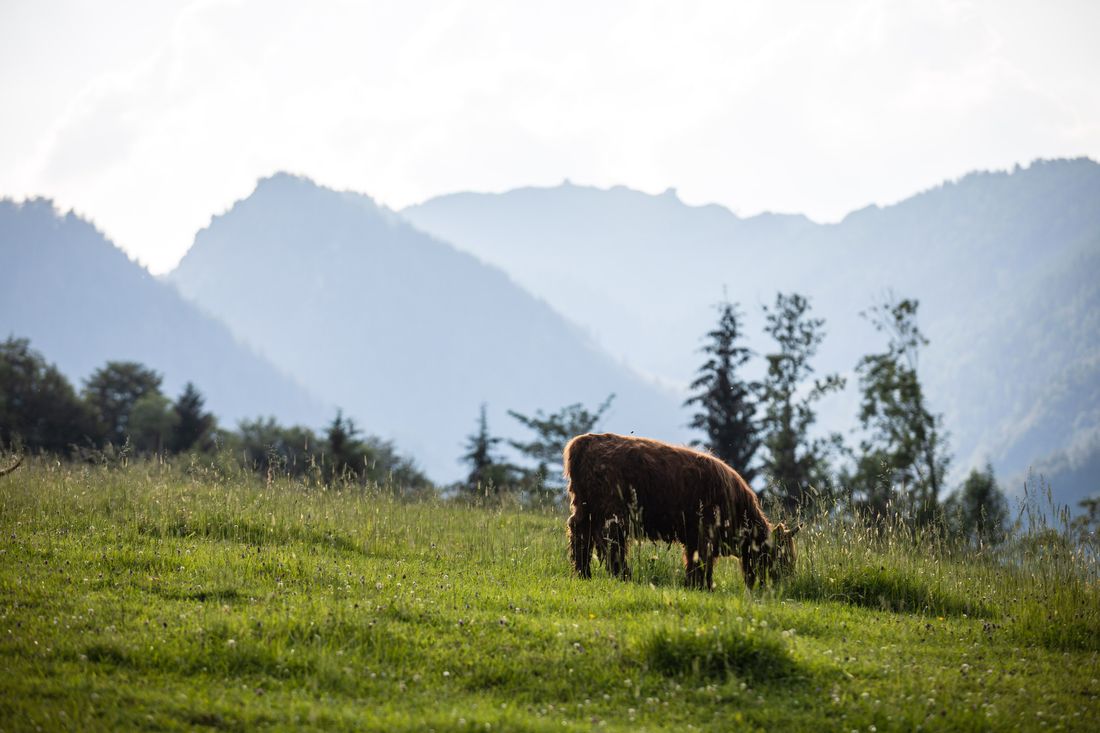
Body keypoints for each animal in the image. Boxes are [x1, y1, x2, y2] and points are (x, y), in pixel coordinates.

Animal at [564, 433, 798, 589]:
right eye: (781, 554)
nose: (785, 582)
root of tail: (583, 441)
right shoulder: (705, 532)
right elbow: (701, 561)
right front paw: (703, 586)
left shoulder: (695, 537)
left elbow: (694, 560)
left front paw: (693, 584)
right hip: (613, 513)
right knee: (612, 542)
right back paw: (623, 576)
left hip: (584, 508)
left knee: (580, 536)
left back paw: (583, 573)